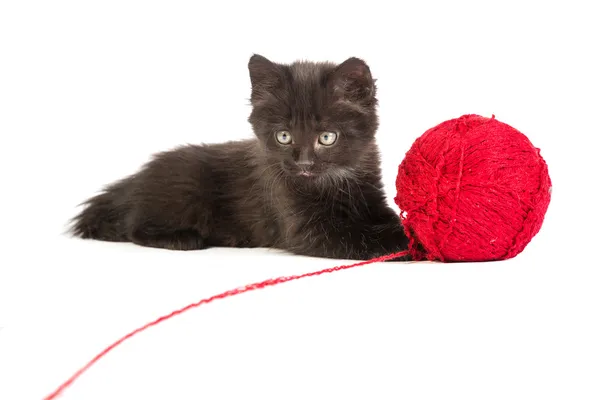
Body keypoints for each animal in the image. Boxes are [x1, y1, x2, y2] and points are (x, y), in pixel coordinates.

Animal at [69, 54, 408, 260]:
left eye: (326, 137)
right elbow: (357, 238)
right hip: (182, 190)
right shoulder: (304, 227)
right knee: (134, 226)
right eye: (283, 136)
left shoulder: (371, 199)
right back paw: (185, 238)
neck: (333, 182)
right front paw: (404, 242)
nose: (303, 164)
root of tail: (135, 180)